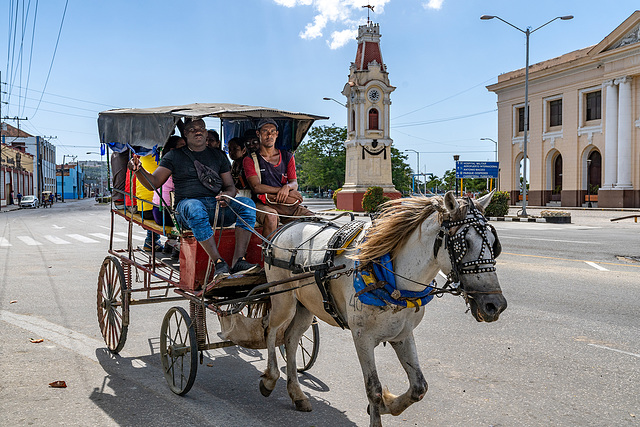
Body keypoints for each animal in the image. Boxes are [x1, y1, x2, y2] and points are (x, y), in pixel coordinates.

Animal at [258, 192, 504, 426]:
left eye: (495, 244)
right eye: (464, 244)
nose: (495, 305)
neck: (392, 279)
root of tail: (285, 228)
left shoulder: (402, 335)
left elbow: (419, 387)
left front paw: (388, 405)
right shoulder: (362, 337)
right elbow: (373, 389)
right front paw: (379, 407)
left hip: (306, 307)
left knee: (290, 339)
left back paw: (297, 395)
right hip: (284, 299)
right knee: (271, 329)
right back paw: (270, 379)